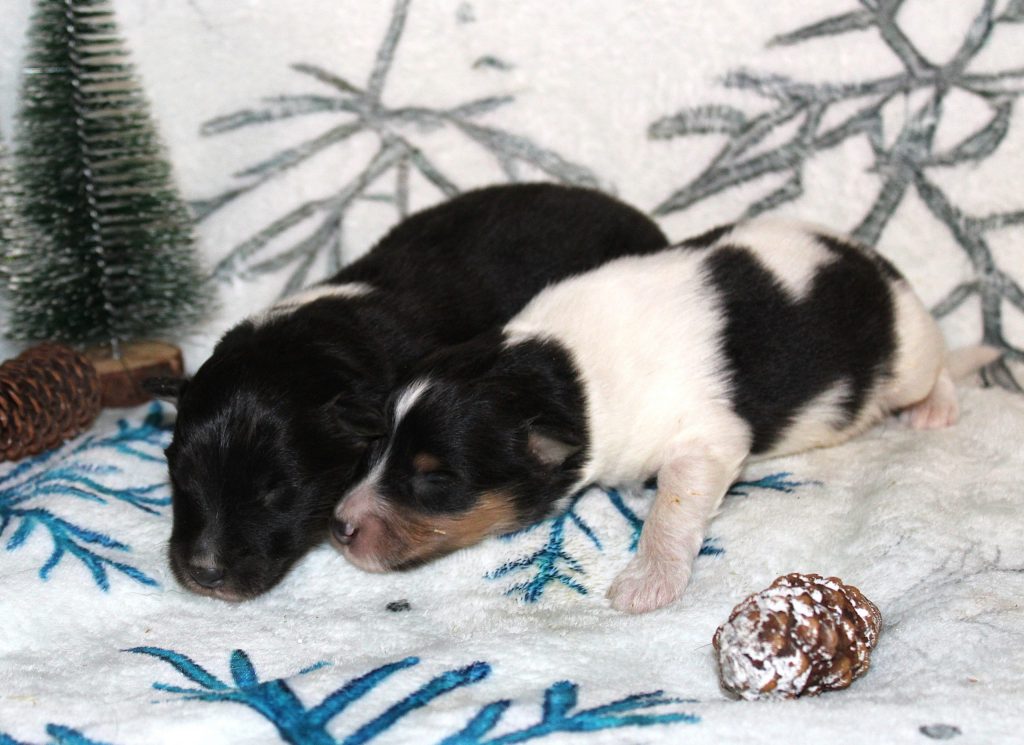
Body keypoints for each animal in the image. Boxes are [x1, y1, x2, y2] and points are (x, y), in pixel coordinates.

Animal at [330, 218, 1000, 613]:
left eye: (435, 479)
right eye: (373, 448)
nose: (338, 527)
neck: (569, 374)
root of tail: (870, 259)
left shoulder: (708, 440)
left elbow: (672, 508)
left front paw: (647, 581)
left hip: (907, 354)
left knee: (937, 365)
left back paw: (937, 405)